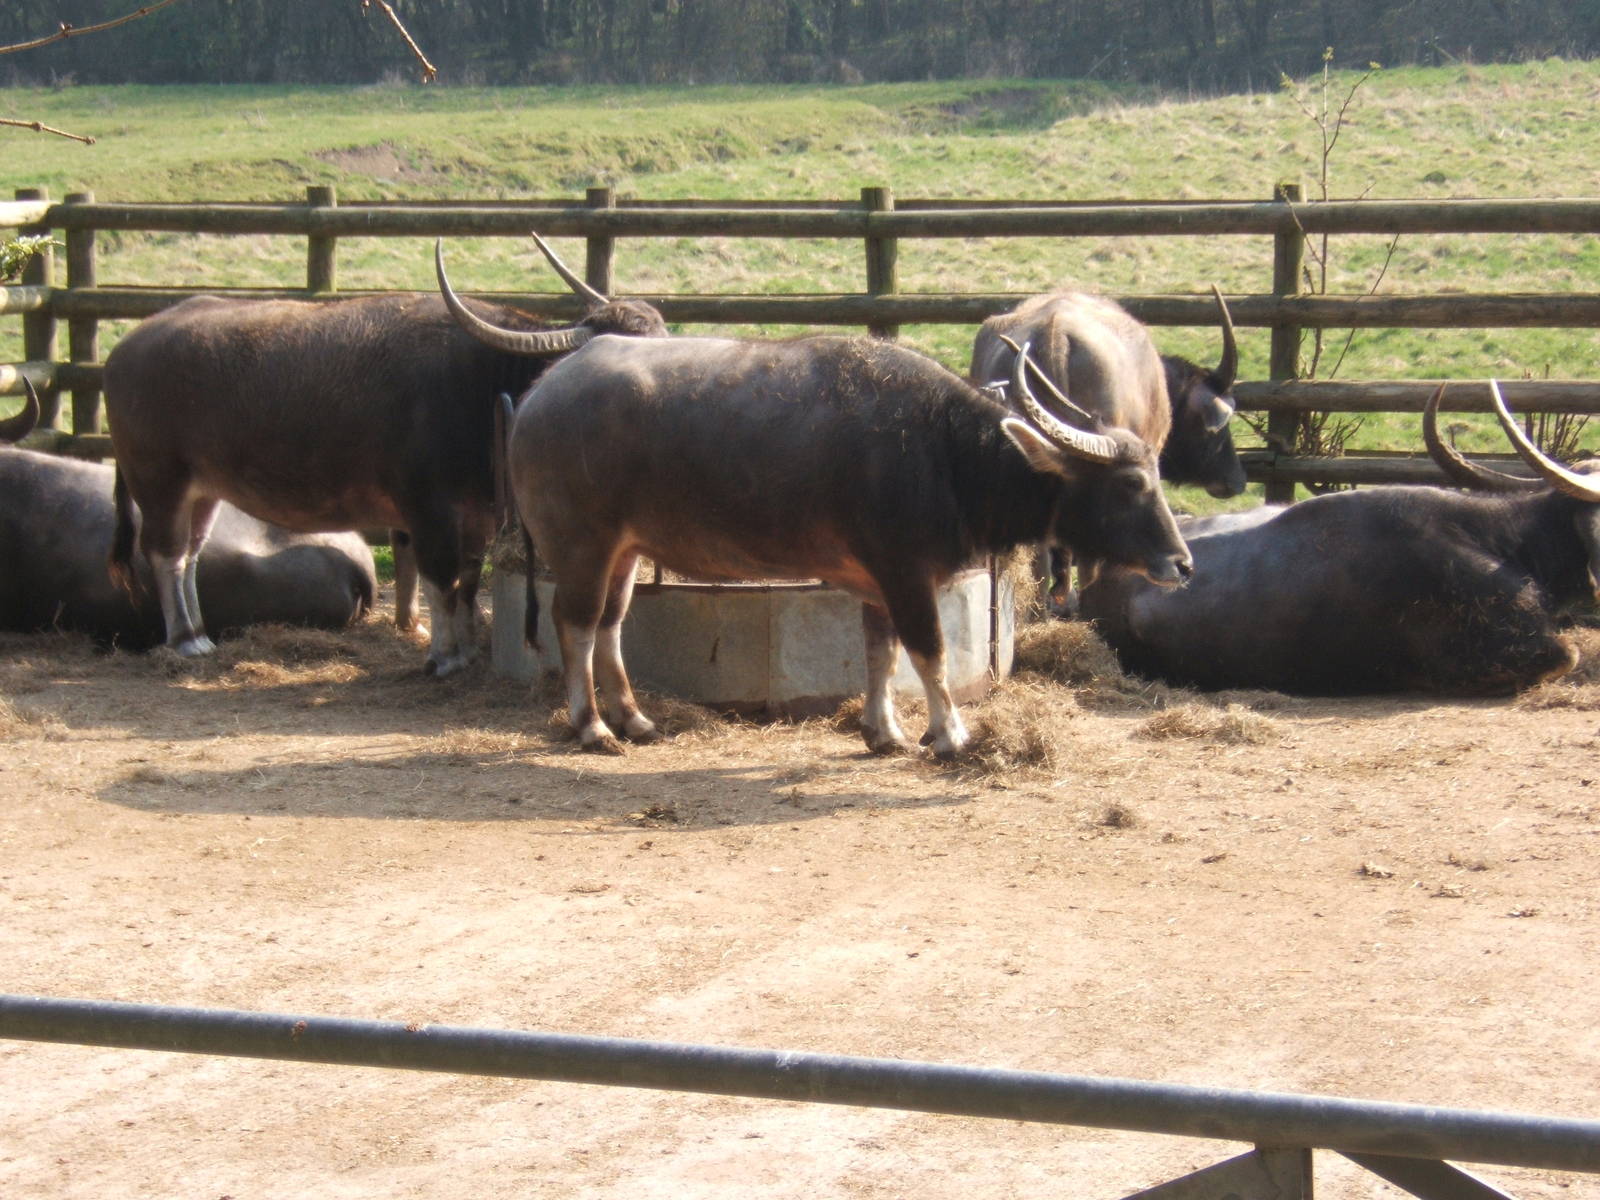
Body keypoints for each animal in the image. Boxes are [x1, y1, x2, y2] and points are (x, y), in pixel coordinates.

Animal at [102, 235, 667, 674]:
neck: (481, 383)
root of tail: (126, 347)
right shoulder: (428, 510)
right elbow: (440, 578)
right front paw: (445, 655)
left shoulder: (477, 515)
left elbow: (467, 580)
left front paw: (469, 645)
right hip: (158, 479)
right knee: (166, 553)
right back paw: (185, 640)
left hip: (202, 488)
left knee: (191, 552)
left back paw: (199, 629)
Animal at [501, 331, 1192, 756]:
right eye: (1132, 483)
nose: (1182, 564)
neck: (943, 451)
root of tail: (541, 392)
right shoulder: (905, 573)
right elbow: (930, 652)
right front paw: (950, 734)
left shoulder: (877, 582)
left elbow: (880, 652)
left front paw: (883, 732)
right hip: (583, 545)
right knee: (576, 623)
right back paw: (591, 727)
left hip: (625, 549)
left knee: (611, 623)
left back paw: (634, 718)